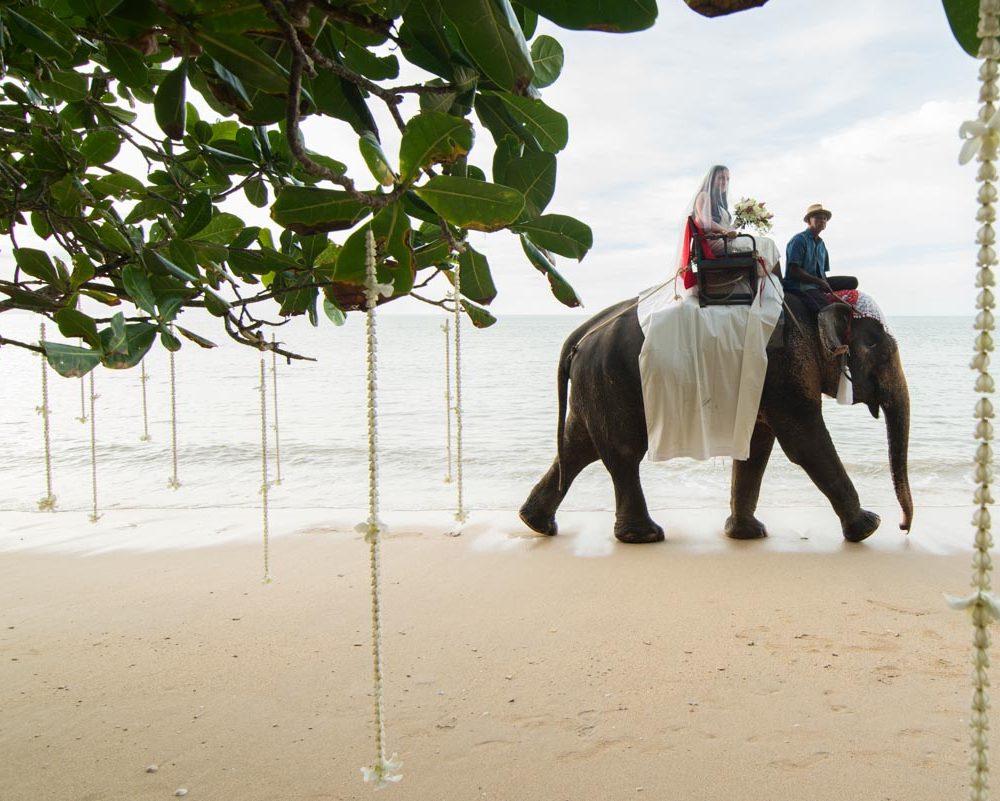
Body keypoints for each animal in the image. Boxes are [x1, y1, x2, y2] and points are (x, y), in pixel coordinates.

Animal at [520, 294, 912, 544]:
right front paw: (870, 527)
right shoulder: (785, 370)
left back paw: (536, 523)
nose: (904, 527)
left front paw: (747, 534)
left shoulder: (769, 380)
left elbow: (756, 446)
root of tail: (581, 333)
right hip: (610, 379)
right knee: (623, 452)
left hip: (594, 383)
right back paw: (644, 536)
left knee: (577, 447)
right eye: (884, 352)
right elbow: (805, 443)